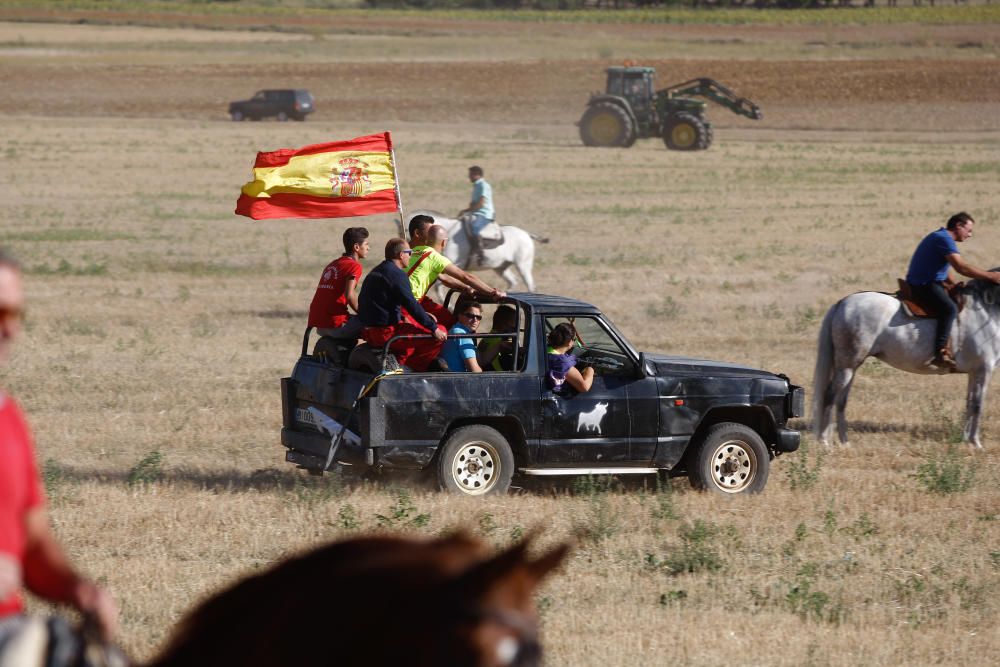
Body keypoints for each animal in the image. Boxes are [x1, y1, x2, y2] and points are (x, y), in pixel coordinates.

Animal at [406, 209, 548, 292]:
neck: (449, 232)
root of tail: (527, 234)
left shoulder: (455, 265)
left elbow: (438, 285)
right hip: (501, 267)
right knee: (513, 281)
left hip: (523, 265)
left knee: (530, 285)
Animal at [812, 276, 1000, 448]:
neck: (986, 312)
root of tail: (843, 303)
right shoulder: (985, 369)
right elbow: (978, 405)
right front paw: (976, 442)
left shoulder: (974, 372)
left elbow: (970, 403)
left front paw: (966, 439)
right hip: (847, 366)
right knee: (829, 395)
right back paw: (824, 441)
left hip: (850, 366)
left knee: (841, 400)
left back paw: (844, 441)